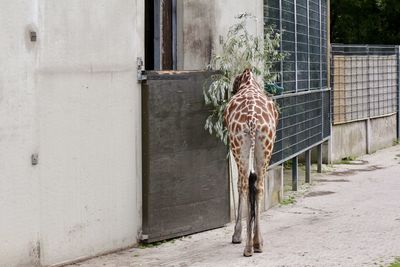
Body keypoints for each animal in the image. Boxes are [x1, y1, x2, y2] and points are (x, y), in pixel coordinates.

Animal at [225, 68, 278, 256]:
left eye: (234, 82)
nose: (231, 90)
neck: (249, 83)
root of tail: (252, 120)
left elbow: (240, 185)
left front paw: (236, 235)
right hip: (266, 144)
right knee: (259, 185)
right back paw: (258, 243)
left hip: (238, 144)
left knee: (244, 184)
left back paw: (247, 247)